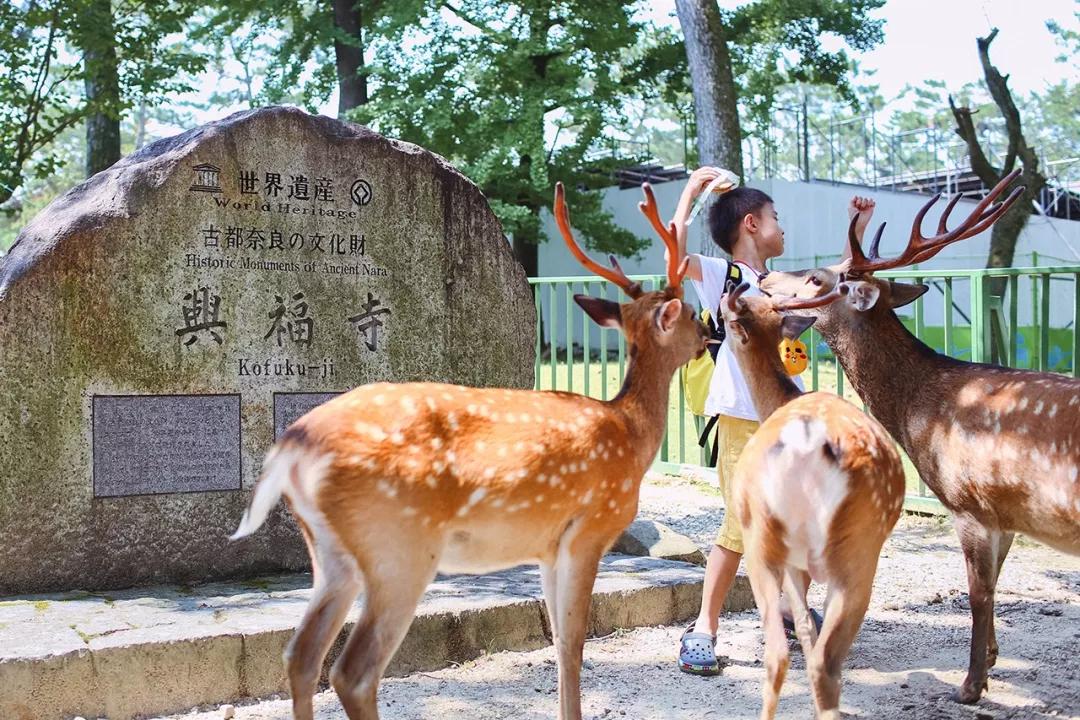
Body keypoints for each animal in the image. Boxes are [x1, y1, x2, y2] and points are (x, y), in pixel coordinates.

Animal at [230, 183, 708, 716]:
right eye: (689, 313)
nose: (710, 333)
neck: (631, 433)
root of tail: (292, 446)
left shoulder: (547, 546)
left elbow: (558, 642)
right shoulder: (589, 529)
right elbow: (574, 643)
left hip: (331, 552)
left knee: (300, 655)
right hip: (398, 545)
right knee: (352, 671)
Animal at [721, 282, 907, 720]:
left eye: (729, 313)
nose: (729, 288)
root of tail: (809, 443)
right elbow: (806, 625)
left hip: (769, 540)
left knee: (780, 655)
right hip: (854, 553)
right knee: (821, 660)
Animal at [760, 169, 1080, 703]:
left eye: (818, 278)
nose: (764, 277)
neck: (917, 414)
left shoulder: (969, 501)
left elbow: (978, 593)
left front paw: (970, 686)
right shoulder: (1007, 513)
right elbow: (996, 582)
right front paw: (991, 660)